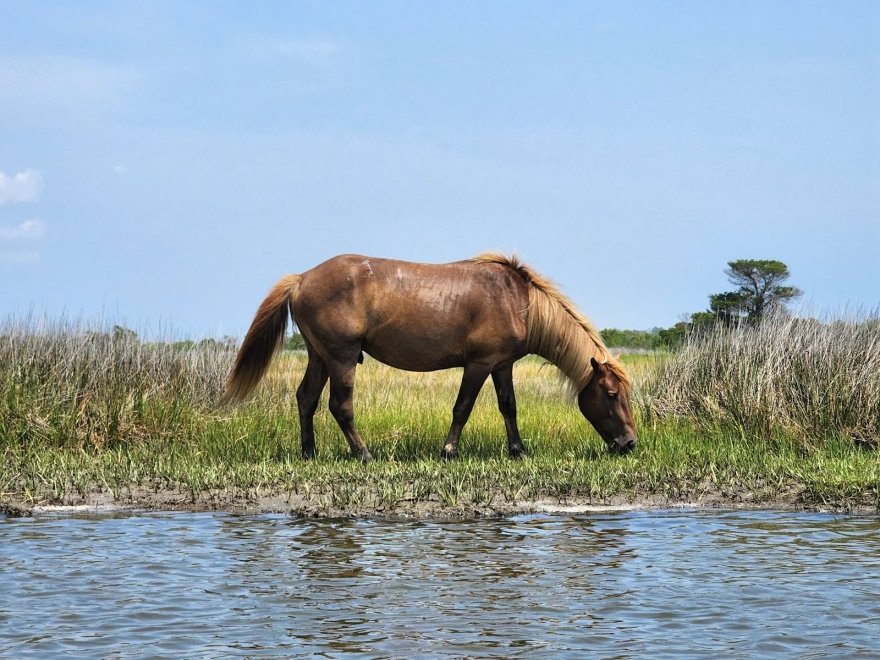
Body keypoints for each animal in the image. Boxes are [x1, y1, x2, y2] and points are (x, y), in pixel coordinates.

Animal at [218, 255, 632, 462]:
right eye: (611, 395)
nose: (630, 444)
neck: (519, 301)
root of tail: (302, 278)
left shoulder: (502, 364)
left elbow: (508, 406)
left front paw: (517, 450)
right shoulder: (479, 364)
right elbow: (463, 407)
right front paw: (449, 451)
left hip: (318, 355)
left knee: (306, 399)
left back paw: (309, 452)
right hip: (342, 357)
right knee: (340, 405)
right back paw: (364, 454)